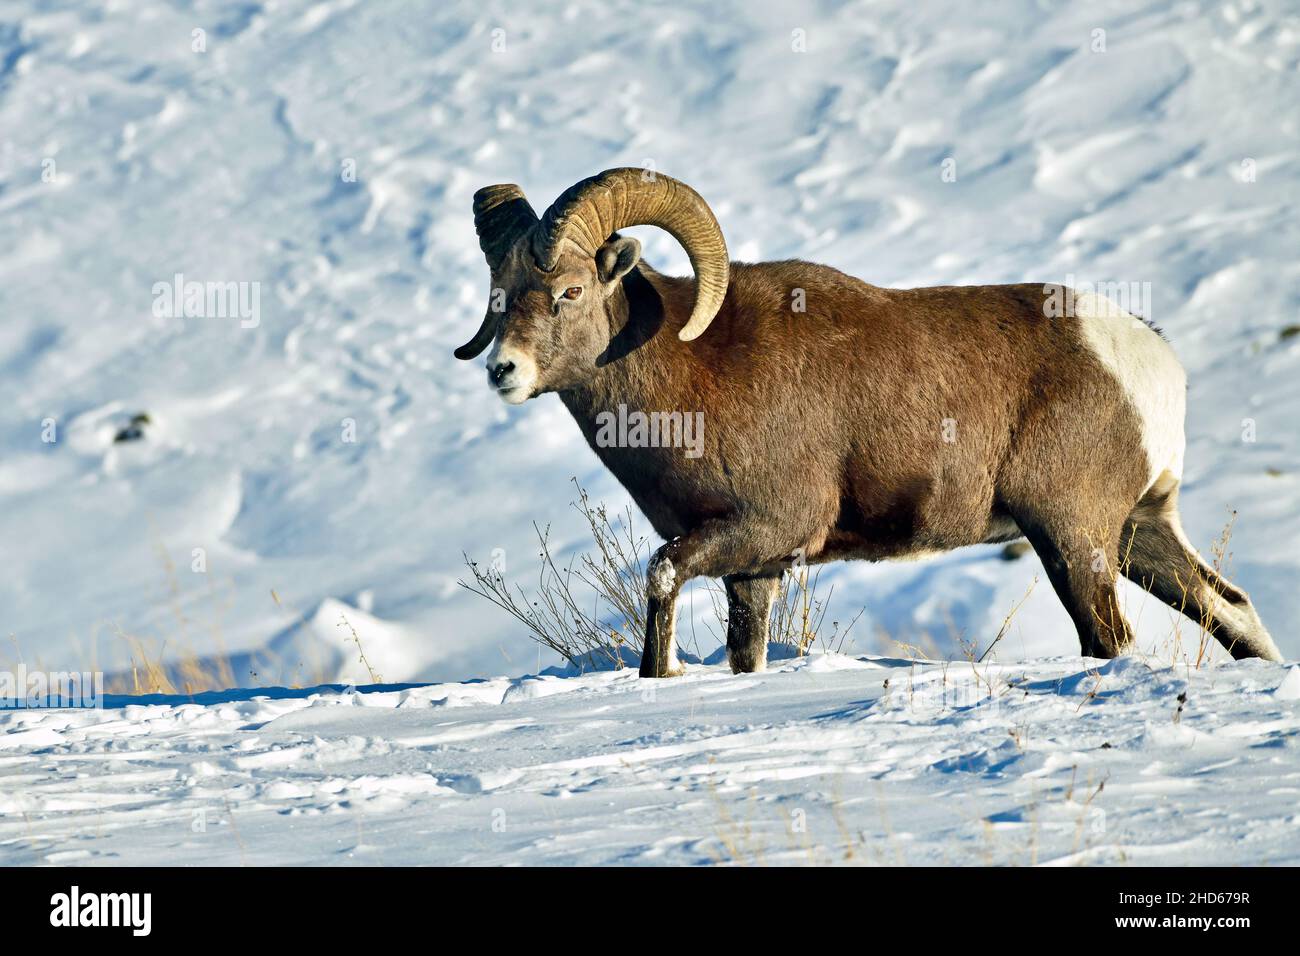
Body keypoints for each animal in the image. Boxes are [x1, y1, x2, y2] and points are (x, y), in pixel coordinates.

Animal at [455, 167, 1283, 676]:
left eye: (567, 290)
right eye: (500, 292)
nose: (502, 371)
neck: (691, 372)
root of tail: (1150, 358)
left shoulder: (762, 528)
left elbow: (660, 580)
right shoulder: (754, 567)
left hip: (1071, 534)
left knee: (1109, 639)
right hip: (1139, 530)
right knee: (1232, 611)